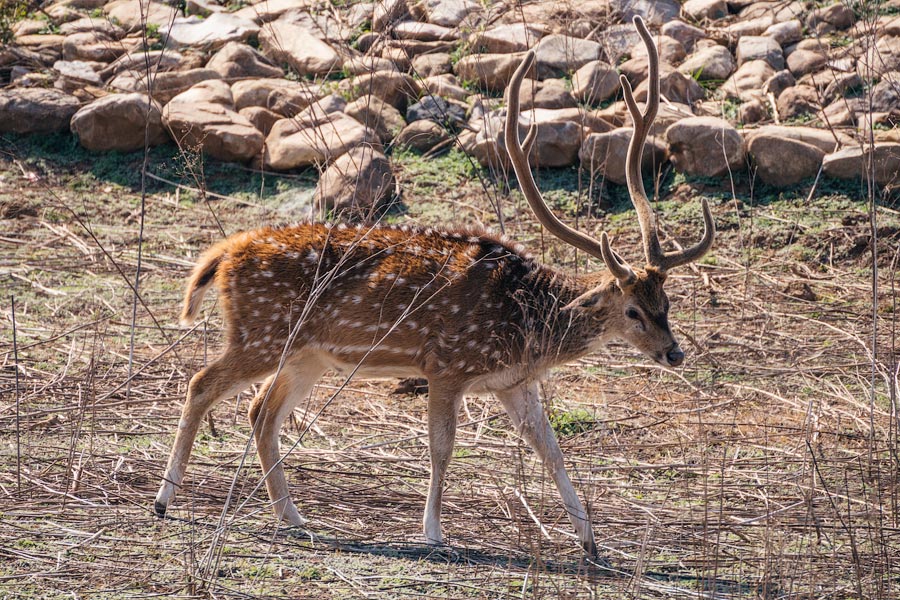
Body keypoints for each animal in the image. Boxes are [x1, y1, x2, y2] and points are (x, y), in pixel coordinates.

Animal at [154, 16, 714, 558]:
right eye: (633, 311)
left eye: (666, 302)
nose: (674, 352)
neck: (526, 323)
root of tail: (225, 253)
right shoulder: (447, 364)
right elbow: (442, 447)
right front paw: (433, 533)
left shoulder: (514, 383)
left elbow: (552, 451)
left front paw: (591, 542)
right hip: (261, 334)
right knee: (202, 383)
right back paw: (165, 500)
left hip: (306, 354)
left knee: (260, 412)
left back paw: (293, 516)